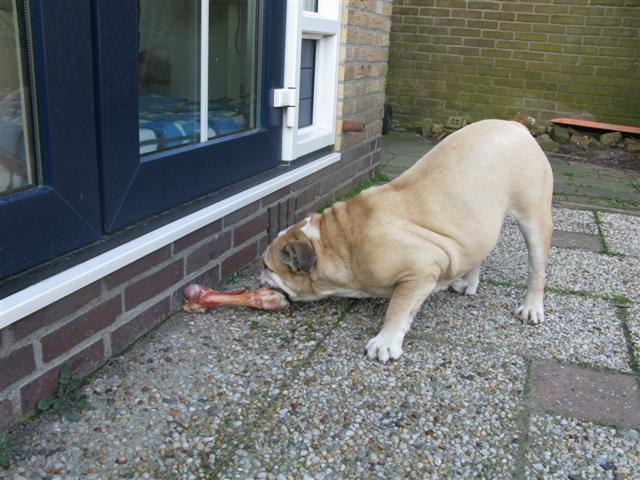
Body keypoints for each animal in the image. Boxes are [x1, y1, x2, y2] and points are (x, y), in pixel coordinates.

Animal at [262, 119, 553, 362]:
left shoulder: (419, 272)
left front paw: (385, 342)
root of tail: (516, 126)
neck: (339, 241)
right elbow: (407, 309)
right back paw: (468, 283)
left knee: (536, 269)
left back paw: (531, 308)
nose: (259, 276)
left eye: (266, 266)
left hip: (534, 216)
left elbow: (397, 308)